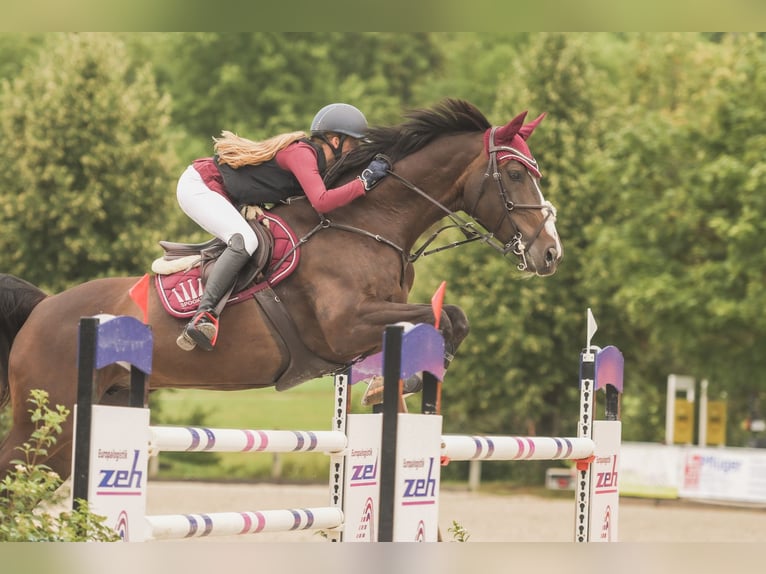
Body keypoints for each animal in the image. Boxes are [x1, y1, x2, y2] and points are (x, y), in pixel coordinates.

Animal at [0, 99, 564, 482]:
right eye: (515, 173)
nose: (550, 253)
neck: (367, 224)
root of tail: (44, 308)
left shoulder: (373, 319)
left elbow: (452, 319)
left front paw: (392, 385)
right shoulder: (347, 325)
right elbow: (441, 316)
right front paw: (395, 383)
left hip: (86, 413)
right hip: (46, 417)